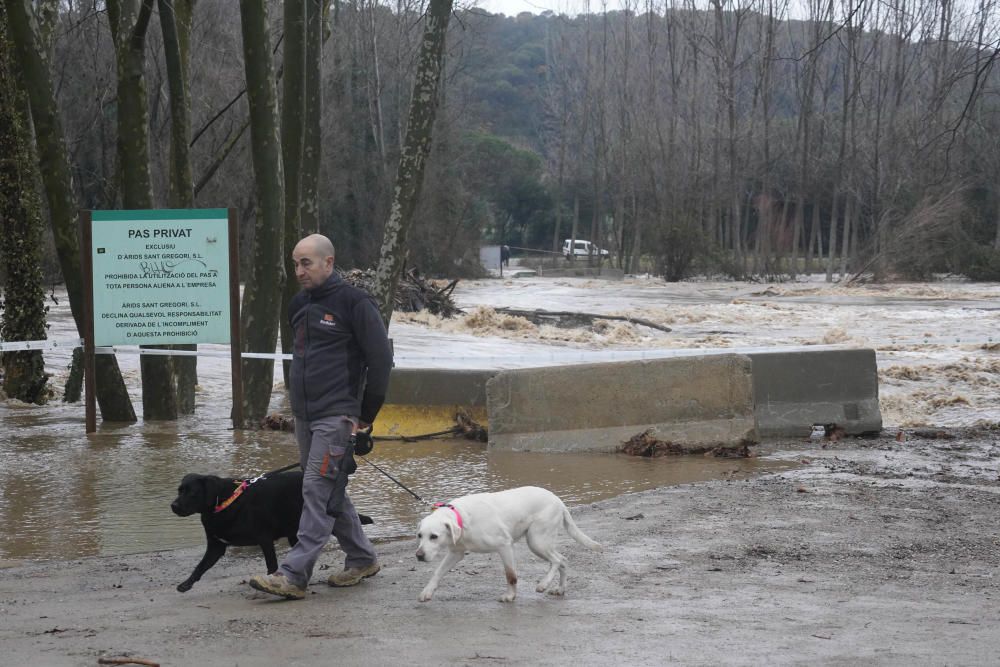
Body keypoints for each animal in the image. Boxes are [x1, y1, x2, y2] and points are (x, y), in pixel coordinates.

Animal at [172, 472, 376, 592]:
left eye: (192, 493)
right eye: (179, 490)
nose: (173, 505)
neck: (225, 503)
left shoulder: (265, 539)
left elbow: (271, 564)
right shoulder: (216, 546)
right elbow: (200, 566)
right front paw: (186, 584)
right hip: (295, 532)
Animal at [414, 486, 600, 604]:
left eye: (434, 536)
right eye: (419, 535)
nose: (419, 556)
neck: (464, 518)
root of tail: (558, 501)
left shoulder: (505, 546)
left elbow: (511, 575)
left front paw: (510, 597)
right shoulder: (455, 553)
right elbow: (437, 573)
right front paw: (427, 591)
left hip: (536, 541)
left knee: (557, 560)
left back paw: (543, 584)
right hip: (541, 542)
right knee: (563, 560)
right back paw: (560, 589)